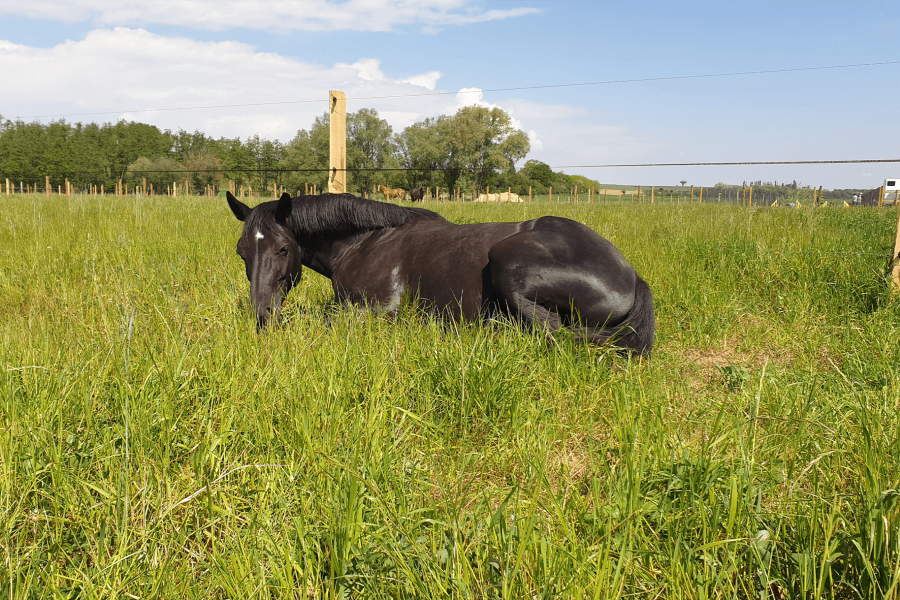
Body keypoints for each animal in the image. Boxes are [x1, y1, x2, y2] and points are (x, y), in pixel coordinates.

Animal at [225, 191, 652, 356]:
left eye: (283, 249)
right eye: (242, 252)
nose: (262, 315)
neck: (366, 240)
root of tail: (632, 276)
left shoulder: (379, 309)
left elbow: (327, 319)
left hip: (507, 263)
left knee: (548, 331)